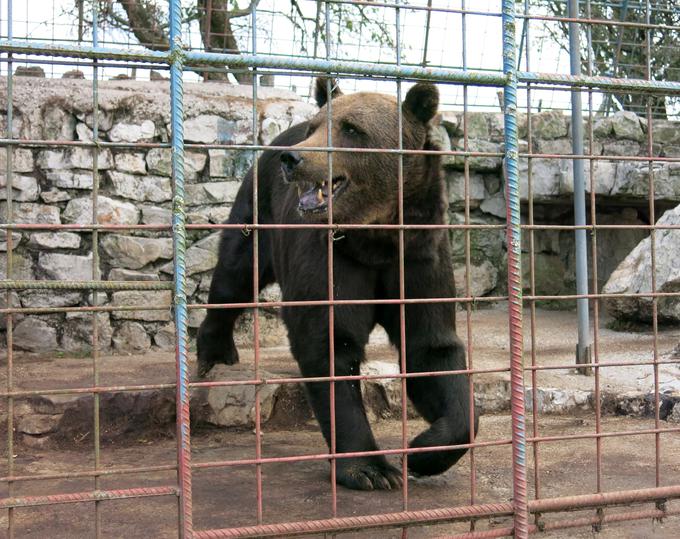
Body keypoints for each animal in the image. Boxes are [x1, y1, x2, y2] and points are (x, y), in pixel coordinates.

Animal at [198, 79, 478, 490]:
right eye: (315, 126)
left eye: (351, 129)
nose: (292, 159)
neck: (376, 239)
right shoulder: (333, 258)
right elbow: (330, 345)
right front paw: (372, 470)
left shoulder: (418, 254)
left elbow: (431, 349)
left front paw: (422, 452)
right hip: (259, 213)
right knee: (236, 271)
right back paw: (215, 352)